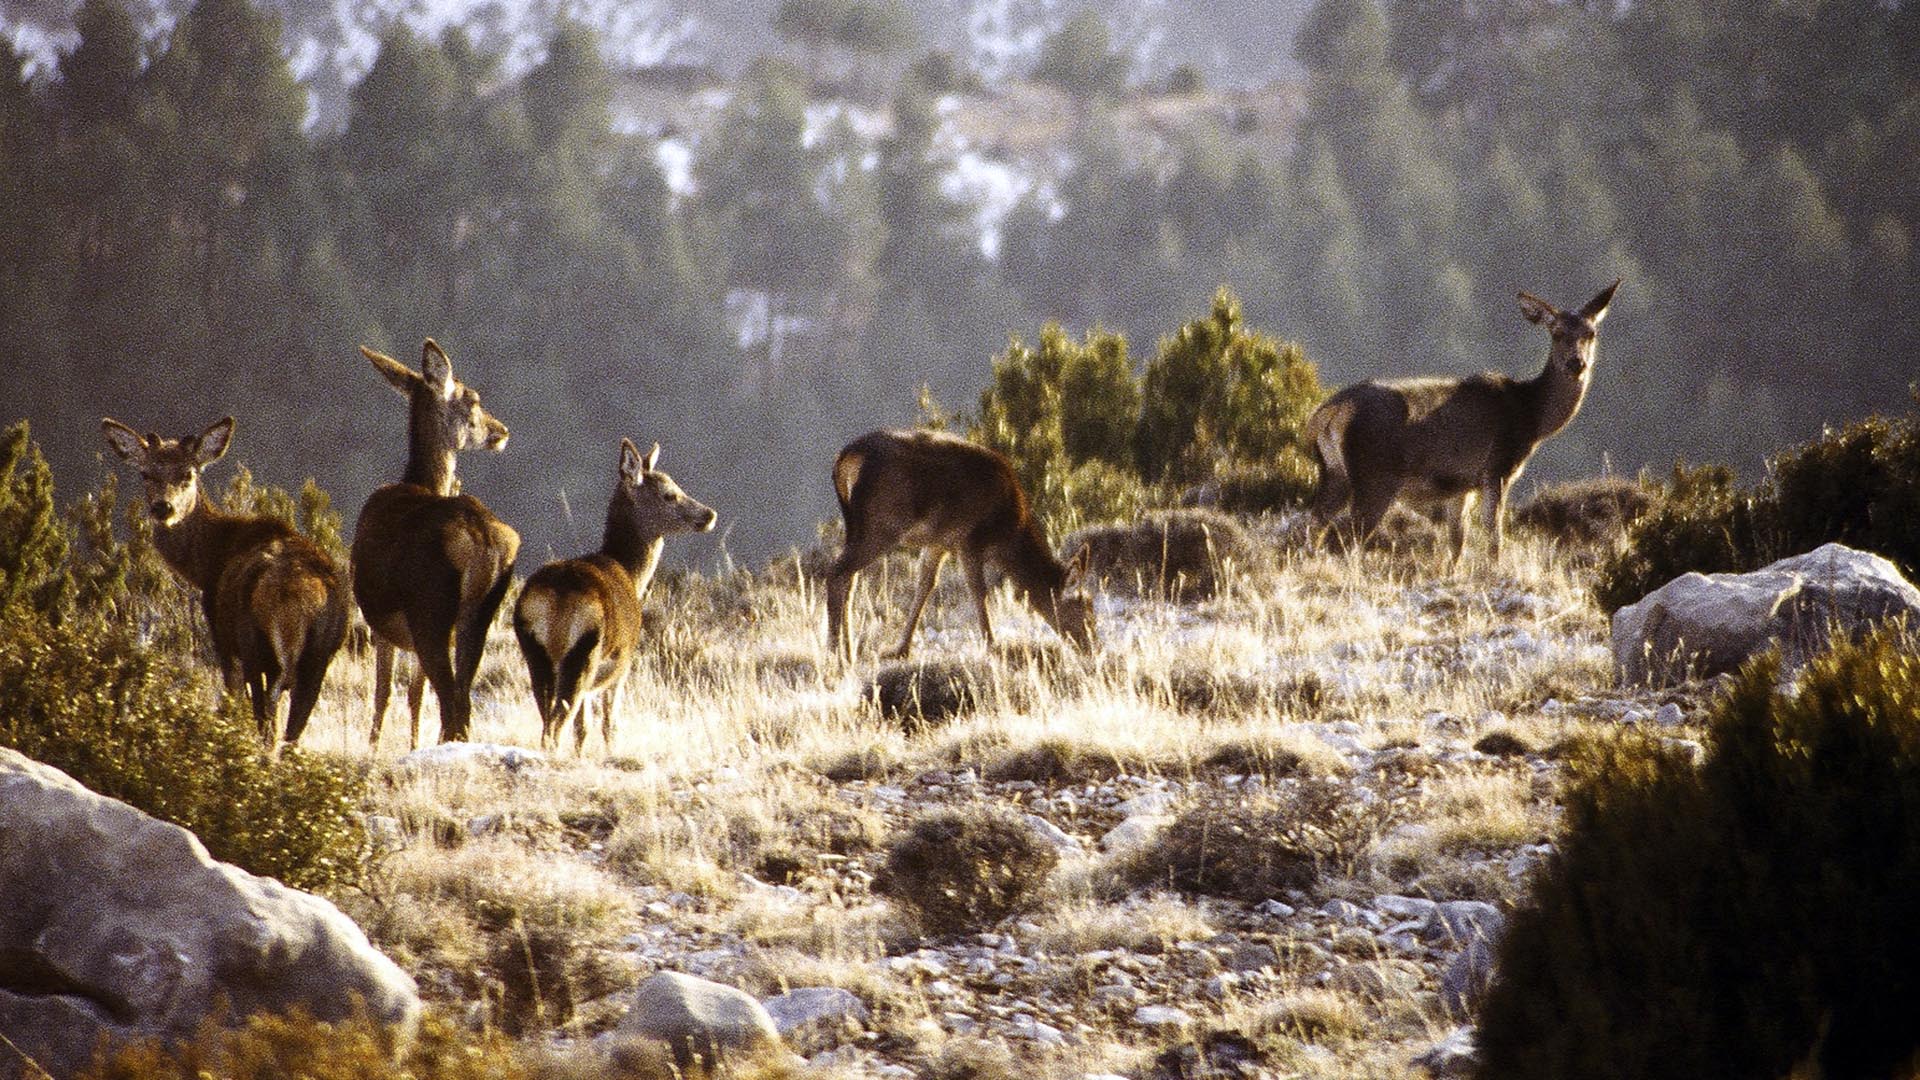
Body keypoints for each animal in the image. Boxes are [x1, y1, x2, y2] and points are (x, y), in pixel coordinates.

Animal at [101, 411, 351, 737]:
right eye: (146, 474)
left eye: (188, 474)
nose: (163, 507)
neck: (208, 562)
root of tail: (299, 598)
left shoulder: (221, 632)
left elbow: (230, 695)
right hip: (322, 653)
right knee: (292, 729)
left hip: (254, 641)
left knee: (265, 714)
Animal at [351, 340, 518, 745]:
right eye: (473, 399)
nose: (501, 431)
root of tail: (480, 540)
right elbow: (413, 694)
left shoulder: (379, 623)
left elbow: (385, 693)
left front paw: (375, 748)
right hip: (477, 616)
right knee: (461, 698)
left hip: (429, 610)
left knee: (450, 701)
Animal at [514, 432, 718, 753]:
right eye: (669, 494)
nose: (709, 515)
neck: (632, 575)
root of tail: (555, 598)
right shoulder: (623, 663)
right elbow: (610, 725)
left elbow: (583, 728)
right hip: (585, 653)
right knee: (557, 724)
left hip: (535, 653)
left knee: (549, 722)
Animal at [821, 428, 1098, 657]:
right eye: (1086, 610)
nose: (1092, 648)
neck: (1007, 535)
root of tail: (846, 458)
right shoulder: (970, 538)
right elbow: (978, 590)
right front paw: (991, 644)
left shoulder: (938, 543)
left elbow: (925, 586)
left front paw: (900, 649)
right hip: (883, 525)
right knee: (837, 572)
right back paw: (839, 653)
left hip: (860, 526)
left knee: (849, 577)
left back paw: (845, 646)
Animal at [1305, 276, 1620, 564]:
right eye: (1556, 332)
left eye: (1591, 332)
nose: (1576, 363)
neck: (1531, 417)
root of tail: (1329, 411)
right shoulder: (1498, 468)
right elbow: (1494, 534)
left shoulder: (1460, 484)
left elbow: (1457, 541)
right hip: (1376, 475)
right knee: (1348, 537)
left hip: (1334, 471)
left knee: (1315, 524)